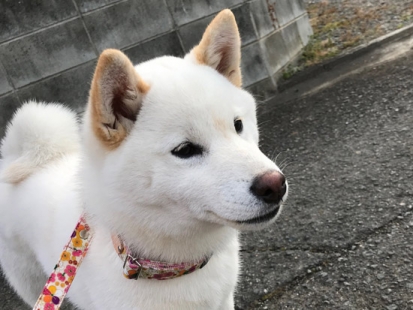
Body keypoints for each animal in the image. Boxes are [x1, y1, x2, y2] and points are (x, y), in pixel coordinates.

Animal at [0, 9, 286, 310]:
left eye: (238, 125)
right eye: (185, 150)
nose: (274, 184)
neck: (168, 268)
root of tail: (29, 158)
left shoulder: (221, 301)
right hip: (28, 280)